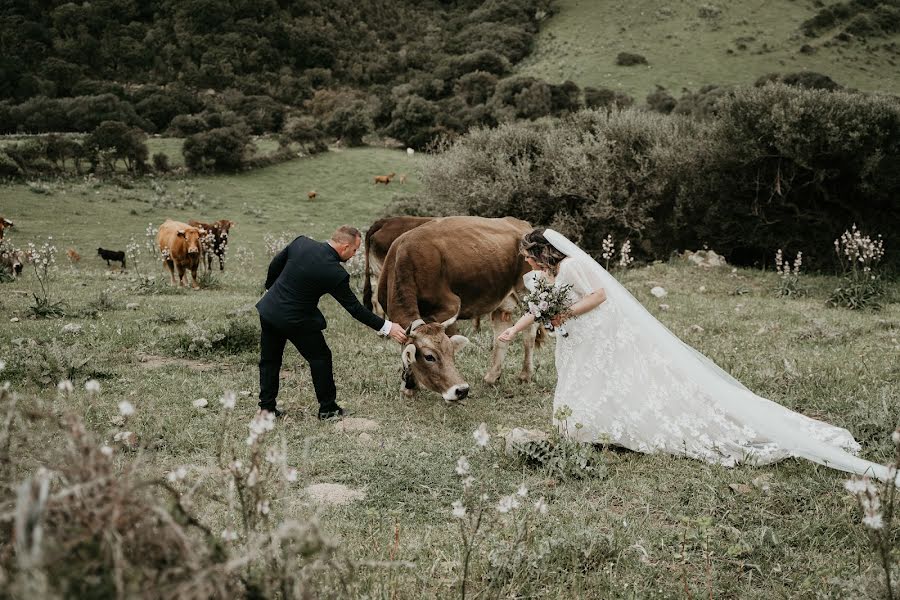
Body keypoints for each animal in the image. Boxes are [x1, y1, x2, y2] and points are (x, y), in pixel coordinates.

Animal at [374, 216, 536, 398]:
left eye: (451, 351)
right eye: (429, 357)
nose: (461, 390)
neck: (406, 257)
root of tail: (521, 224)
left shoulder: (450, 307)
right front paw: (409, 387)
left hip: (526, 293)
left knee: (529, 333)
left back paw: (525, 375)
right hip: (502, 300)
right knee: (502, 333)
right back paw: (492, 377)